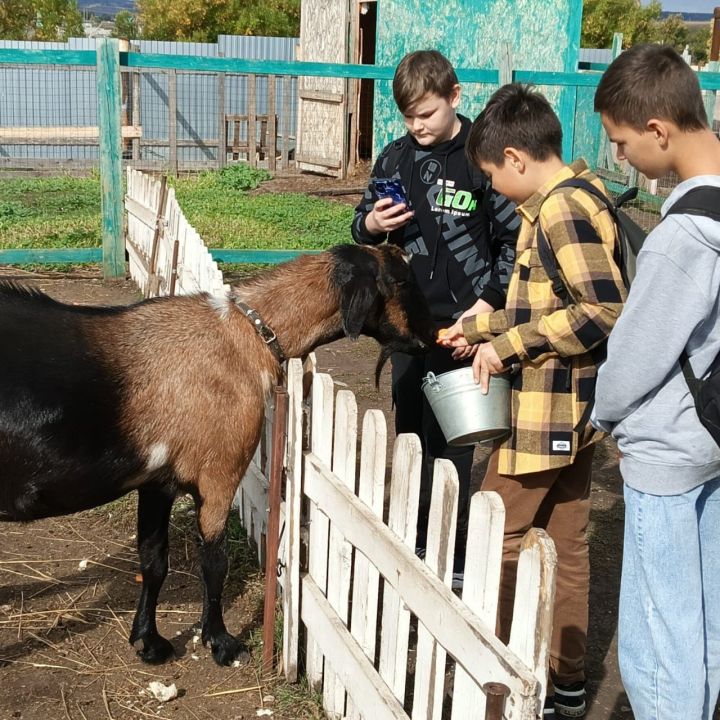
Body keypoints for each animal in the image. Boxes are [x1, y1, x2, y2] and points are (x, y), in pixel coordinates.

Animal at [0, 245, 434, 668]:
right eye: (400, 279)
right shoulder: (219, 473)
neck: (247, 336)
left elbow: (153, 561)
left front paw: (149, 643)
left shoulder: (158, 481)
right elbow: (214, 561)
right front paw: (222, 643)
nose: (431, 337)